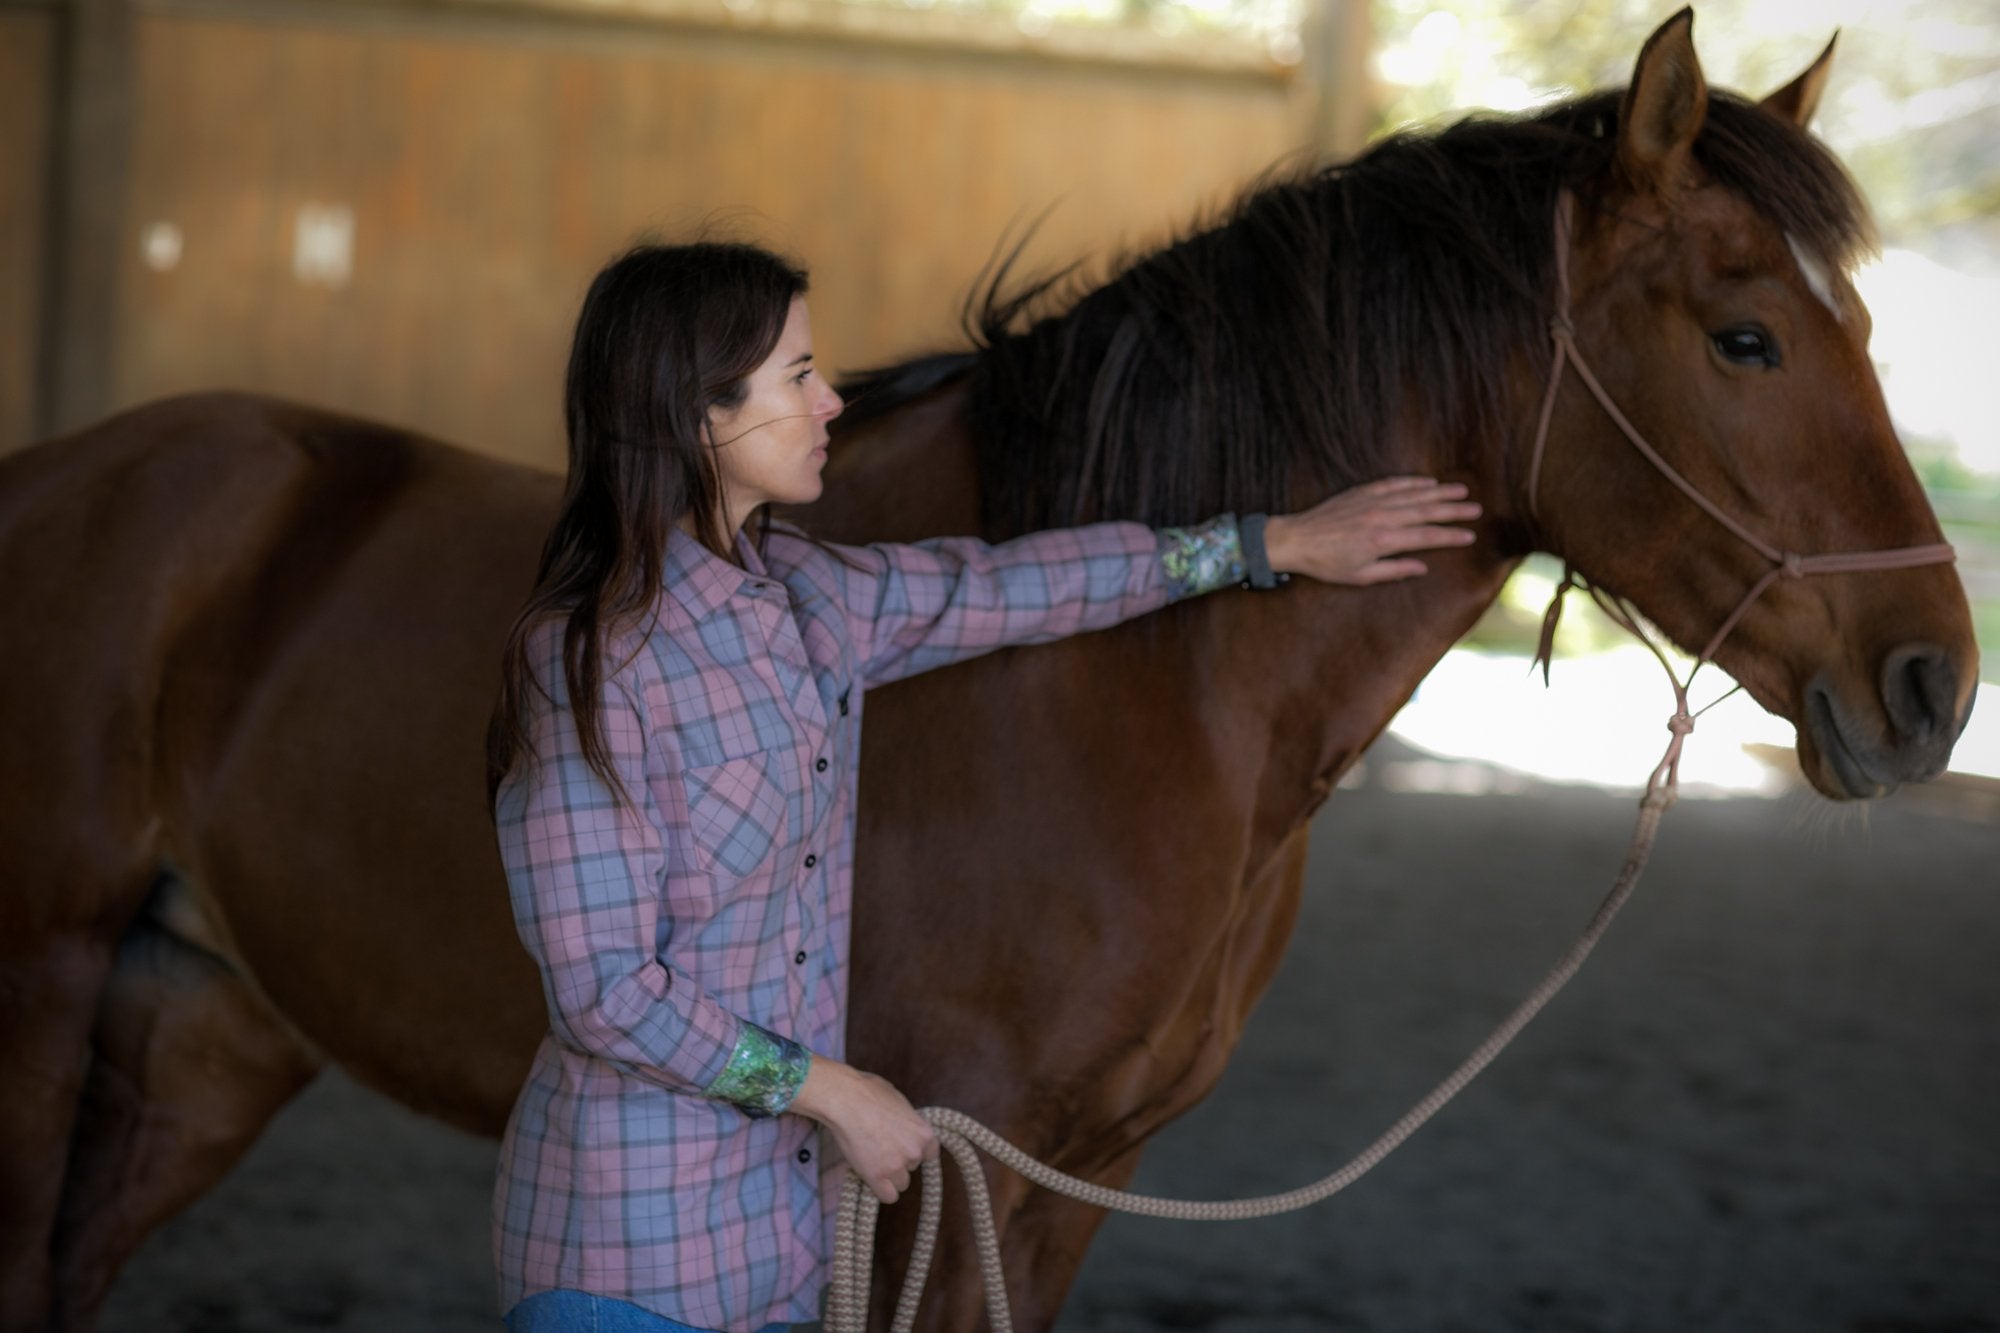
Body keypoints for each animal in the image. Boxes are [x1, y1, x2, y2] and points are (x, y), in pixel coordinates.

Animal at [0, 13, 1976, 1328]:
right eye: (1745, 335)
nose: (1935, 686)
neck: (1145, 690)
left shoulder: (1071, 1174)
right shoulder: (938, 1163)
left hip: (202, 1033)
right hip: (48, 1000)